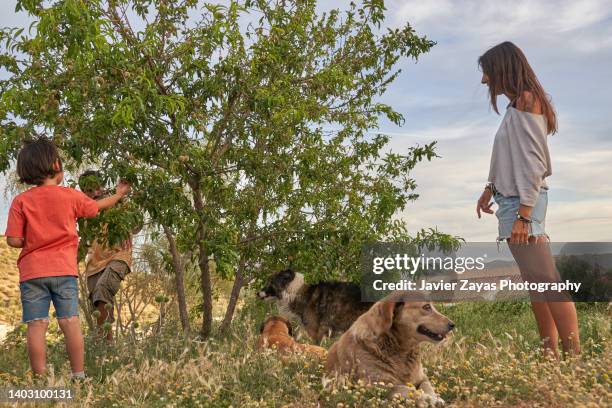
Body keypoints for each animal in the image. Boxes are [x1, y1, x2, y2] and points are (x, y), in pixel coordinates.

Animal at [326, 298, 454, 406]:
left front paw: (436, 397)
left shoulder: (422, 377)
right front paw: (428, 399)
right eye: (427, 307)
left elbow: (427, 386)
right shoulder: (377, 385)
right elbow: (406, 389)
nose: (452, 324)